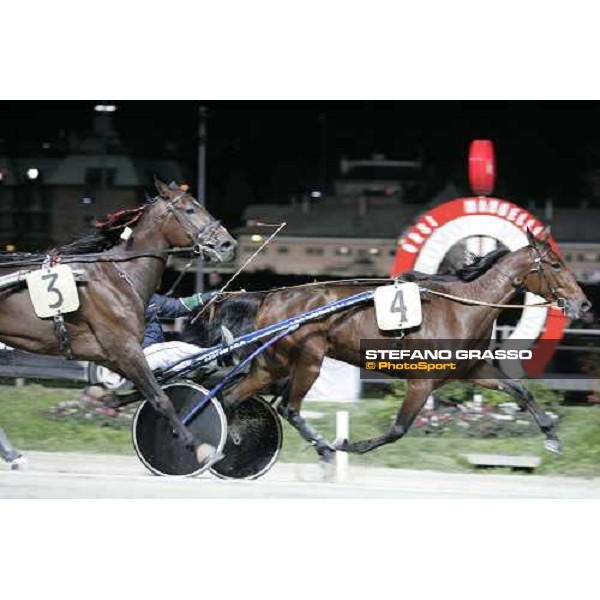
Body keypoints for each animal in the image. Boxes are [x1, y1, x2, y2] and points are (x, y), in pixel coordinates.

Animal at [1, 178, 236, 454]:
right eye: (190, 209)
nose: (227, 244)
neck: (120, 277)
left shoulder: (110, 354)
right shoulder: (126, 349)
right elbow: (160, 398)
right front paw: (196, 445)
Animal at [186, 227, 592, 462]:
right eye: (555, 264)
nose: (585, 304)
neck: (463, 305)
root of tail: (269, 297)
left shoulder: (472, 369)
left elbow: (520, 389)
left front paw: (552, 437)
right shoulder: (421, 382)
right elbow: (398, 429)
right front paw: (350, 445)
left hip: (273, 365)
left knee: (230, 398)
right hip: (307, 361)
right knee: (289, 406)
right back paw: (324, 448)